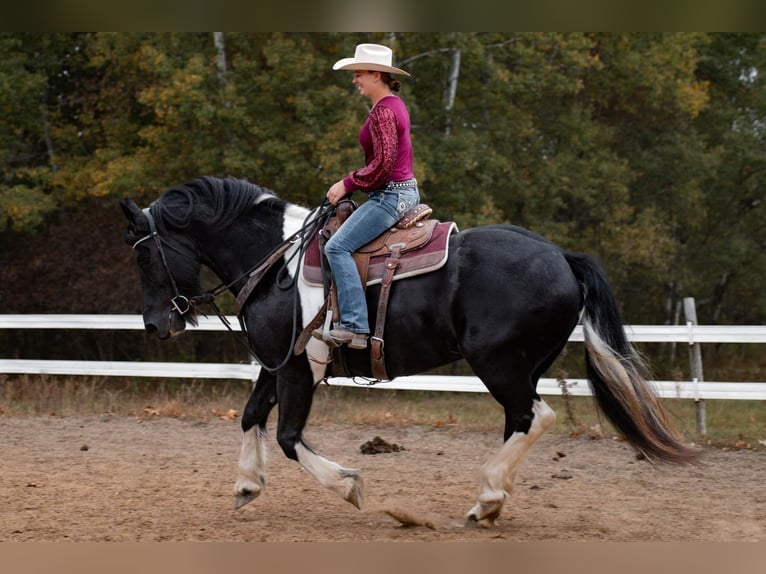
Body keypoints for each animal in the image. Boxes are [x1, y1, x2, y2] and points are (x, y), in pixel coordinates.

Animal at [121, 177, 704, 532]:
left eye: (146, 255)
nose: (155, 324)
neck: (275, 264)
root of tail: (561, 255)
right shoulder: (277, 362)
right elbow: (249, 417)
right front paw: (246, 484)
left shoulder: (298, 370)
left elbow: (287, 437)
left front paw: (349, 486)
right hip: (522, 367)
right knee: (523, 421)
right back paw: (491, 501)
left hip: (499, 365)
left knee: (533, 416)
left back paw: (486, 500)